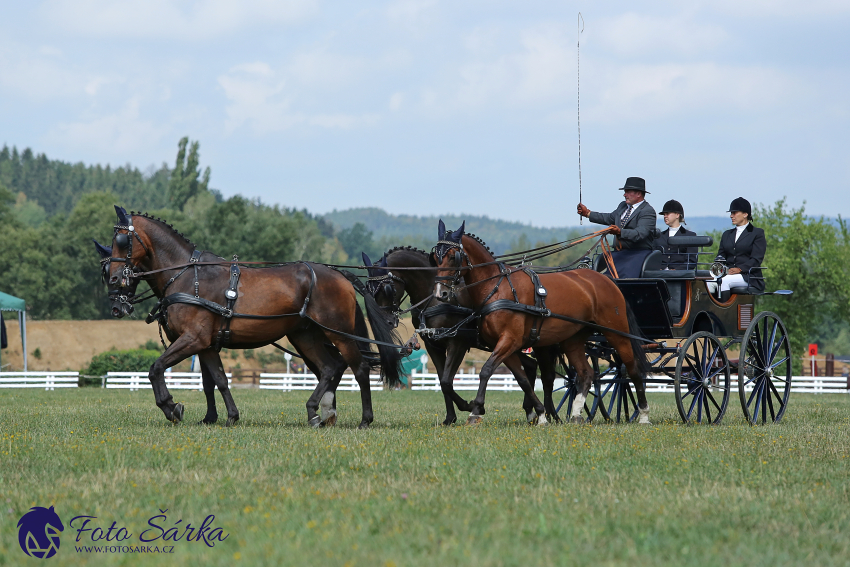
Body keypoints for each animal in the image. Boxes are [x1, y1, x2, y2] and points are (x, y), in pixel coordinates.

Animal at [93, 206, 400, 428]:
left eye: (121, 240)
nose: (116, 292)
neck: (185, 276)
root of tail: (339, 274)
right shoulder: (205, 344)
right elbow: (216, 380)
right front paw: (224, 416)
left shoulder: (193, 339)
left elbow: (156, 368)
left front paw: (171, 407)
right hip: (305, 335)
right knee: (329, 368)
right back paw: (318, 413)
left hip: (338, 333)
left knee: (358, 369)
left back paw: (364, 419)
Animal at [428, 222, 652, 426]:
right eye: (436, 258)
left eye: (453, 256)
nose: (441, 293)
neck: (497, 288)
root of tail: (607, 280)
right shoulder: (505, 346)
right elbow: (523, 380)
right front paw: (541, 414)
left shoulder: (509, 341)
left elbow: (486, 370)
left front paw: (475, 411)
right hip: (573, 339)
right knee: (585, 374)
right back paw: (576, 414)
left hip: (617, 333)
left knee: (632, 369)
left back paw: (643, 414)